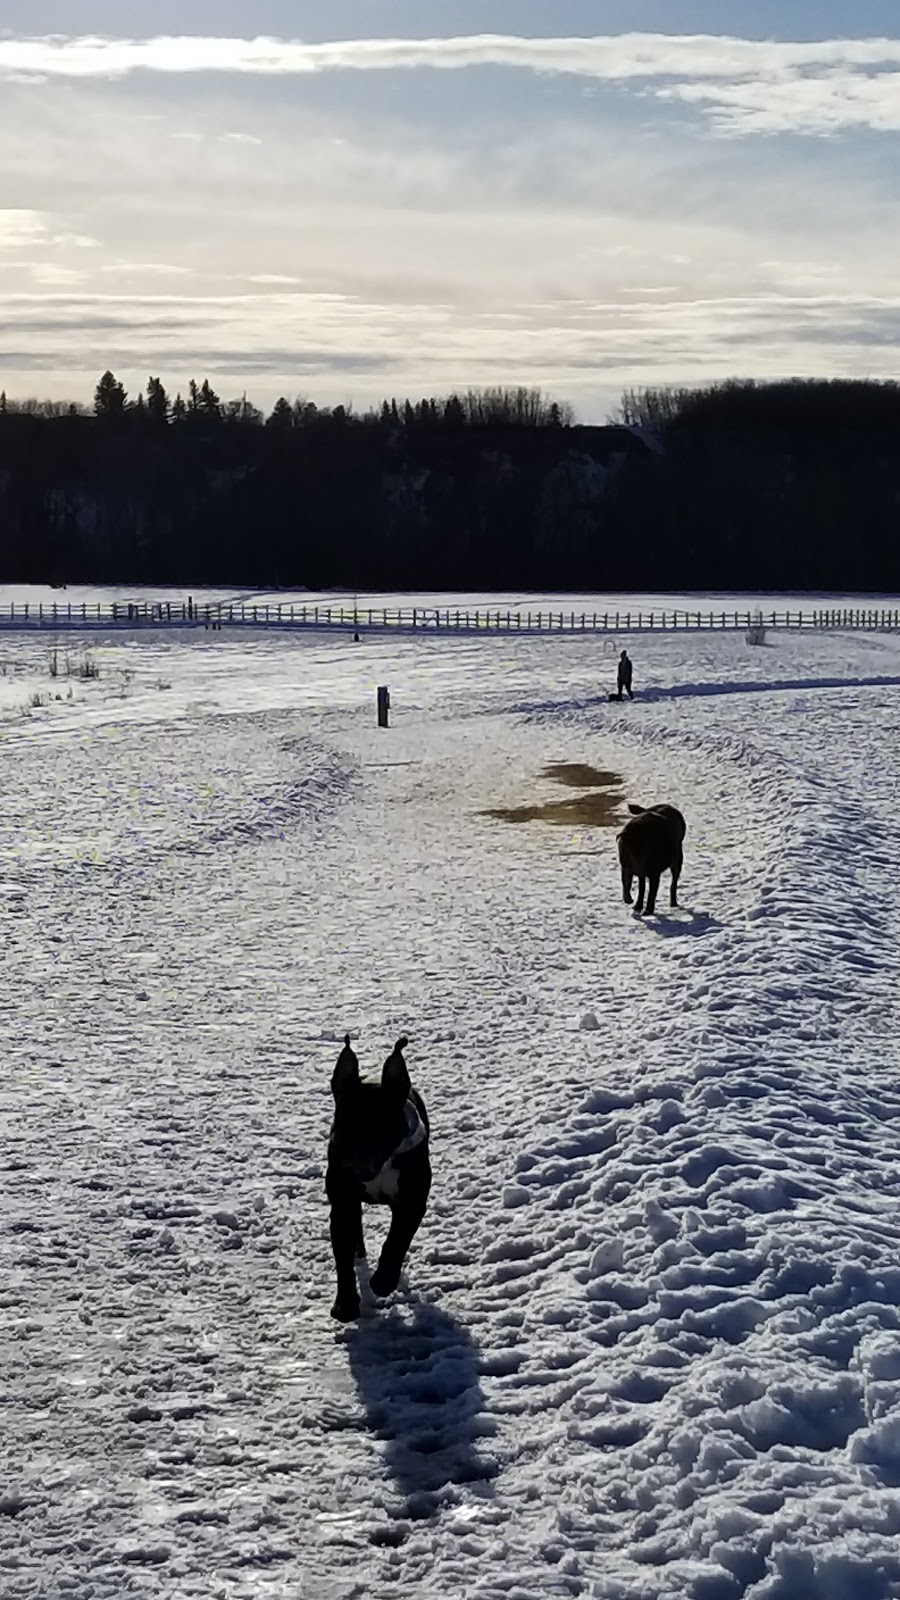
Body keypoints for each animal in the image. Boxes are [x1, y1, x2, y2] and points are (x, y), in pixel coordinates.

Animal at [325, 1036, 432, 1324]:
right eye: (344, 1128)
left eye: (383, 1129)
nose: (360, 1168)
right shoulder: (342, 1201)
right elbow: (342, 1256)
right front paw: (346, 1304)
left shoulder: (412, 1201)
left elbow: (396, 1240)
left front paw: (384, 1281)